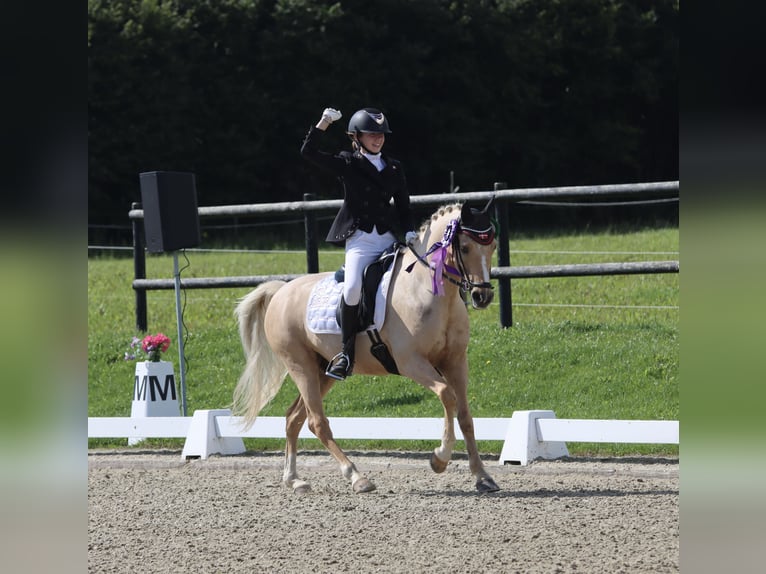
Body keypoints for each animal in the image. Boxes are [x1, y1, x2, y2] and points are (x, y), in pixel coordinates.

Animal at [231, 201, 500, 496]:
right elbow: (446, 395)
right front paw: (439, 458)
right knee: (317, 422)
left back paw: (295, 480)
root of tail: (281, 291)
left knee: (294, 418)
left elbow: (465, 416)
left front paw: (483, 477)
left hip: (322, 371)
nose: (482, 296)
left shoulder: (456, 362)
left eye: (493, 246)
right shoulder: (411, 362)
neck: (428, 291)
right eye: (464, 247)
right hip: (299, 365)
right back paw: (356, 477)